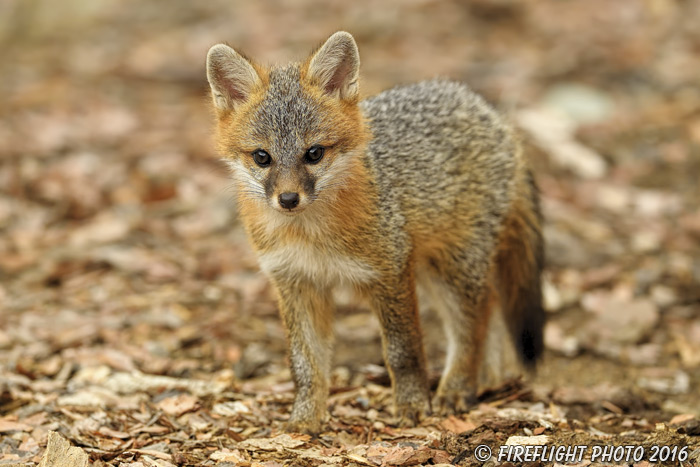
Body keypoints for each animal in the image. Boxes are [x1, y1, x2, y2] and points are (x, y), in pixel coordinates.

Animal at [205, 31, 544, 436]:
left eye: (313, 153)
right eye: (262, 157)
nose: (288, 199)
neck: (310, 236)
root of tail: (489, 112)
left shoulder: (389, 273)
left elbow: (403, 351)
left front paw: (412, 406)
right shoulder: (296, 282)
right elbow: (305, 364)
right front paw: (304, 419)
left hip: (450, 269)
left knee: (471, 322)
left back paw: (457, 388)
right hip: (430, 270)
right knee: (488, 307)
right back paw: (490, 378)